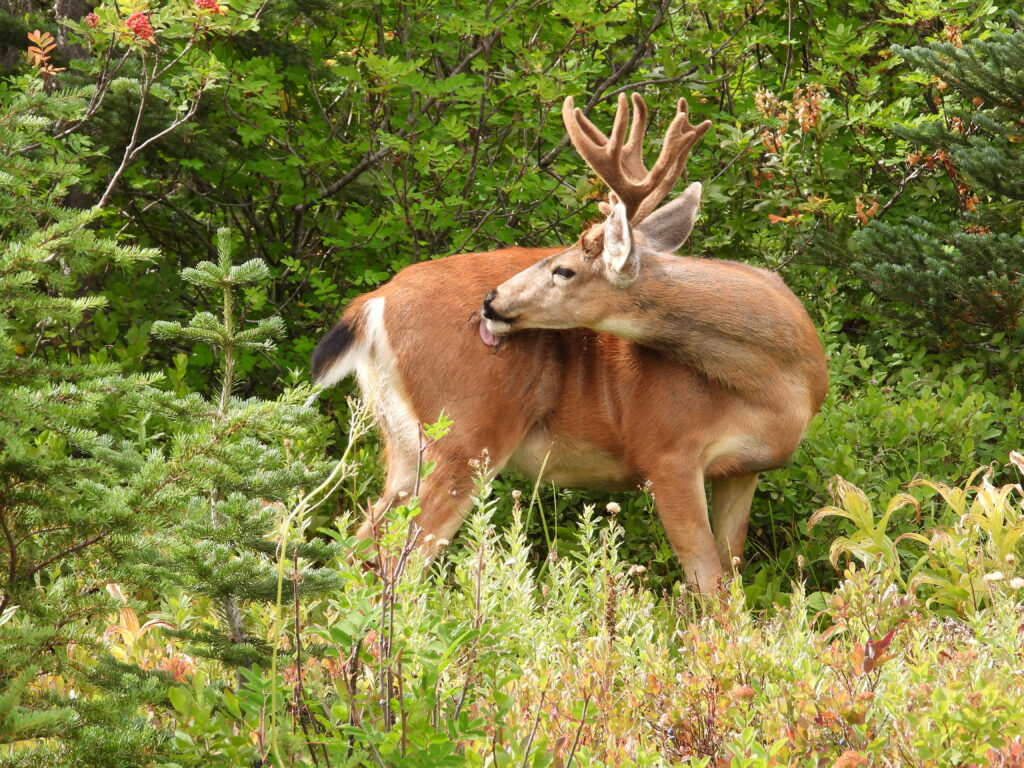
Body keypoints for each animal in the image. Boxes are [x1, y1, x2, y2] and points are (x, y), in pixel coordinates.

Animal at [307, 91, 827, 593]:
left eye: (564, 269)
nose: (490, 301)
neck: (776, 383)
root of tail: (375, 301)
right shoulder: (666, 453)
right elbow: (710, 584)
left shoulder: (744, 469)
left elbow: (733, 577)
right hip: (464, 432)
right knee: (402, 560)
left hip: (400, 441)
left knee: (361, 549)